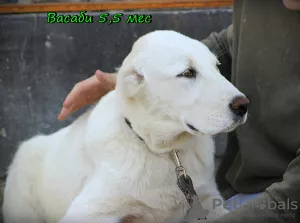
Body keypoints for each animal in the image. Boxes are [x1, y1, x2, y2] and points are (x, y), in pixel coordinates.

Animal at [1, 30, 248, 223]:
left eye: (217, 68)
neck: (166, 152)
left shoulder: (208, 199)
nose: (243, 105)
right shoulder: (90, 210)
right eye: (187, 73)